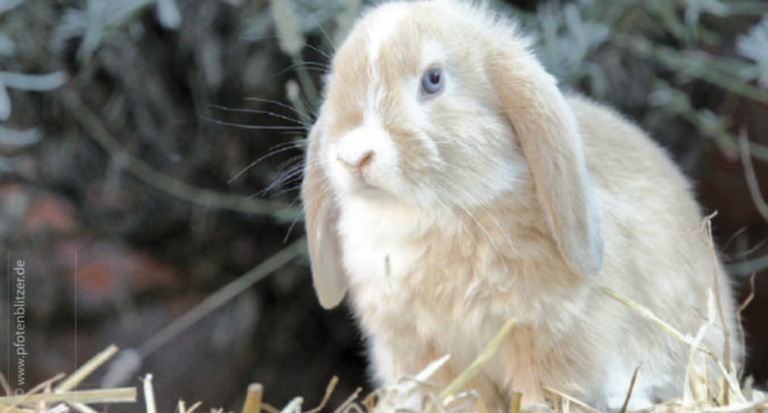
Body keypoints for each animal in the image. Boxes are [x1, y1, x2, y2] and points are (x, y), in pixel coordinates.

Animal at [300, 0, 742, 411]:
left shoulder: (554, 336)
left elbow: (543, 392)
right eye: (334, 83)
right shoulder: (426, 353)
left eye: (433, 79)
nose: (353, 155)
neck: (425, 215)